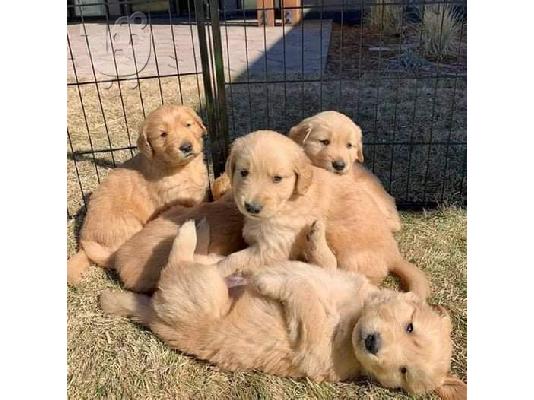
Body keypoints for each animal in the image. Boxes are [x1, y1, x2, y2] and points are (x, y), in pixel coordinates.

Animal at [67, 104, 209, 284]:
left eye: (188, 125)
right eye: (163, 134)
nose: (186, 147)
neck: (183, 168)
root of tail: (83, 243)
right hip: (127, 225)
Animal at [101, 220, 468, 398]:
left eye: (403, 372)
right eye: (409, 326)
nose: (372, 343)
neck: (353, 315)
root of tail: (154, 315)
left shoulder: (314, 345)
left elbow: (305, 296)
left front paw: (269, 280)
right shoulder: (339, 276)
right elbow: (324, 262)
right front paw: (315, 237)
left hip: (201, 290)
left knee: (176, 262)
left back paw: (194, 229)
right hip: (206, 272)